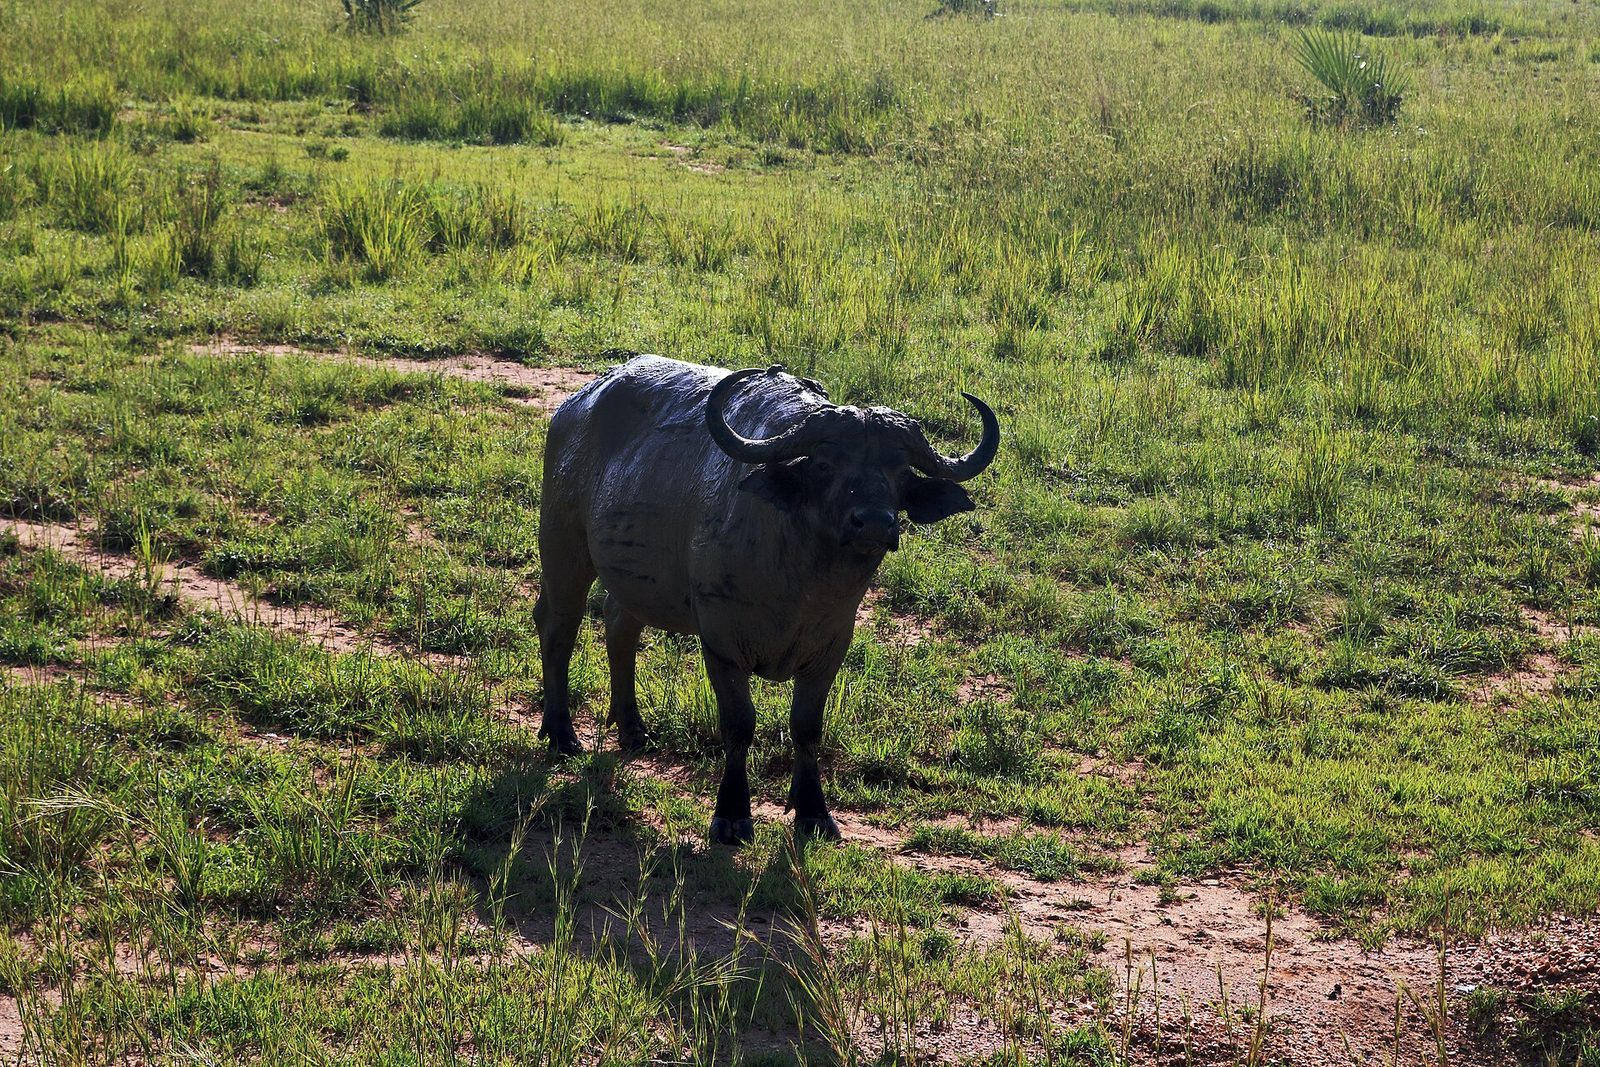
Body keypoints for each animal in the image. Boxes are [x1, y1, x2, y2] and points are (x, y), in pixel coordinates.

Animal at [534, 356, 999, 844]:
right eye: (825, 464)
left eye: (901, 470)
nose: (874, 522)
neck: (801, 585)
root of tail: (575, 406)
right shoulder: (720, 642)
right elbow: (740, 723)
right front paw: (732, 814)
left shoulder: (831, 647)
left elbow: (807, 727)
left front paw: (813, 811)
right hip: (563, 544)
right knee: (558, 628)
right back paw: (561, 734)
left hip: (634, 579)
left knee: (618, 625)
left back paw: (632, 729)